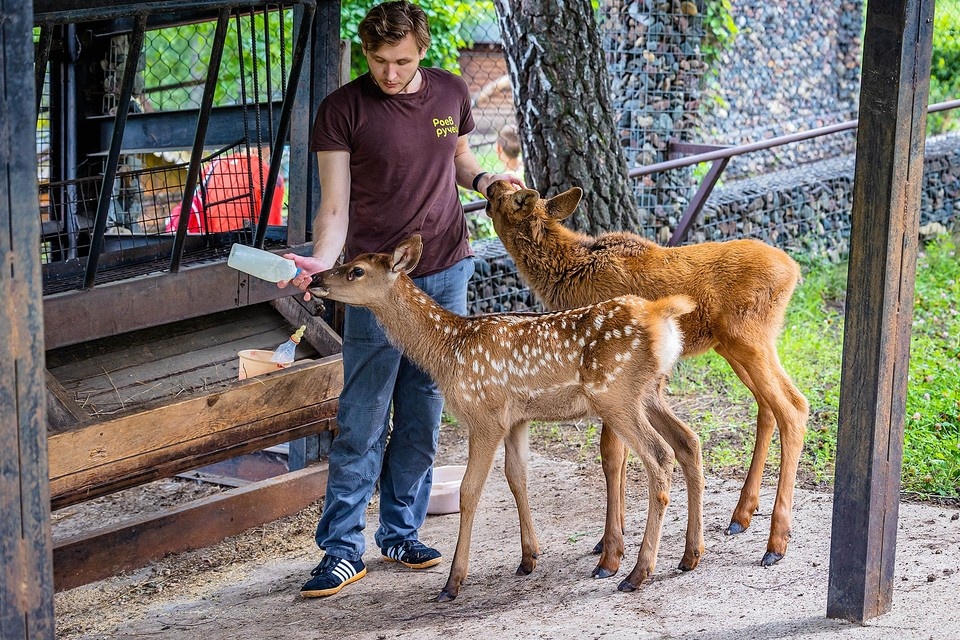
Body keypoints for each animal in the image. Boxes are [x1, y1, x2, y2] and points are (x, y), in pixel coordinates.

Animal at [312, 235, 700, 600]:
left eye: (356, 270)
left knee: (659, 455)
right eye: (347, 260)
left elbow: (469, 490)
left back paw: (637, 573)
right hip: (649, 393)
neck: (448, 350)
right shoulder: (516, 419)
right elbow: (517, 477)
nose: (316, 278)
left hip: (616, 394)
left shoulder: (485, 415)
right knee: (688, 441)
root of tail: (661, 316)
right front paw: (529, 558)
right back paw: (689, 556)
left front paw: (453, 582)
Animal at [488, 180, 808, 568]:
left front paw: (610, 548)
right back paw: (741, 515)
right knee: (767, 407)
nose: (490, 183)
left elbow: (612, 455)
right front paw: (615, 537)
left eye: (502, 197)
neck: (567, 276)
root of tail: (794, 270)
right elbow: (624, 456)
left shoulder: (608, 370)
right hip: (734, 348)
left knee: (793, 407)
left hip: (749, 340)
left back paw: (776, 542)